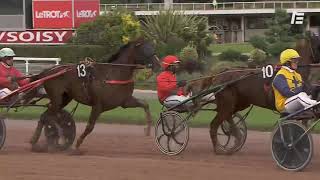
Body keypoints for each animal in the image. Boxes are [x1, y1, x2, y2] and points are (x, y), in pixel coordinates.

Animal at [29, 37, 160, 152]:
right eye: (146, 50)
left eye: (153, 47)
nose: (158, 65)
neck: (113, 74)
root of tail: (46, 72)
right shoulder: (98, 105)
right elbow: (90, 126)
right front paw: (77, 144)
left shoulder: (125, 102)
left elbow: (145, 104)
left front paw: (148, 129)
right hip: (56, 98)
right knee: (46, 117)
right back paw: (42, 140)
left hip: (64, 98)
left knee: (46, 116)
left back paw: (40, 141)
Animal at [190, 35, 320, 154]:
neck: (290, 70)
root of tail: (218, 75)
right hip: (227, 104)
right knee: (215, 124)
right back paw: (219, 148)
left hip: (238, 104)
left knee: (228, 117)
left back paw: (236, 137)